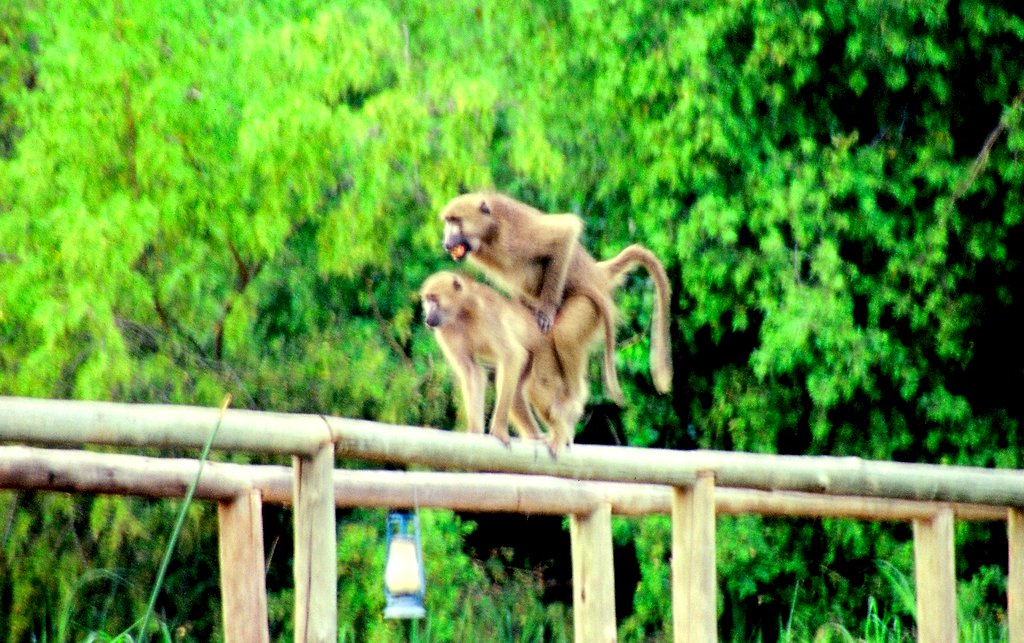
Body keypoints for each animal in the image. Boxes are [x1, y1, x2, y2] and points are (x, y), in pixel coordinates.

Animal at [419, 271, 589, 456]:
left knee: (538, 387)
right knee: (517, 394)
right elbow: (472, 371)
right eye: (427, 299)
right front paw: (475, 431)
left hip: (546, 349)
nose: (428, 318)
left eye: (434, 299)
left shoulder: (487, 315)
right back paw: (537, 436)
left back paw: (560, 435)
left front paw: (499, 431)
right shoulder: (445, 330)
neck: (461, 311)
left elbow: (512, 355)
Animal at [439, 192, 672, 403]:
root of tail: (599, 274)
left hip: (591, 305)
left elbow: (564, 233)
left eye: (456, 221)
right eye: (448, 222)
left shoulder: (515, 236)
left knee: (566, 334)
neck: (491, 232)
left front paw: (546, 312)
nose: (446, 243)